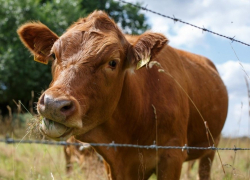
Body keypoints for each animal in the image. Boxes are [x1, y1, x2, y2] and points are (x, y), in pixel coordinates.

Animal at [17, 10, 229, 179]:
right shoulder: (112, 162)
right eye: (53, 55)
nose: (53, 104)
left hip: (211, 146)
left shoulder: (173, 155)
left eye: (113, 62)